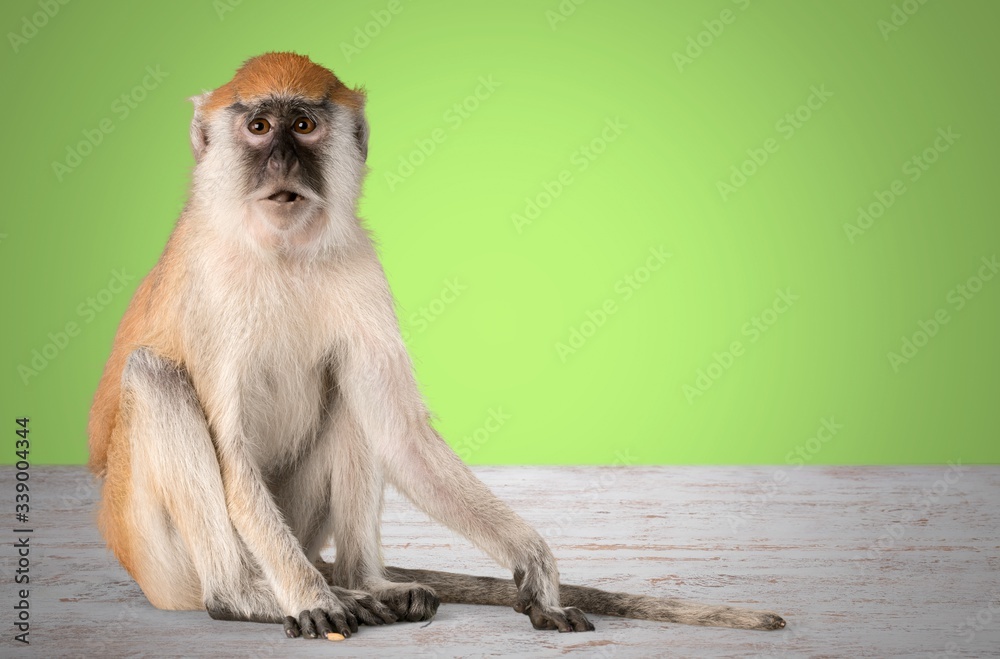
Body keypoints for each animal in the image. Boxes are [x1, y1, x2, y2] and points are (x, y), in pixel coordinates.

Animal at [87, 52, 786, 640]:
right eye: (259, 127)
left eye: (304, 125)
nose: (282, 163)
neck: (282, 250)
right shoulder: (210, 288)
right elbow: (229, 450)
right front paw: (309, 599)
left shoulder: (361, 267)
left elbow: (401, 433)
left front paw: (534, 563)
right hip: (162, 555)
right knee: (155, 376)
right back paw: (249, 595)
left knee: (353, 398)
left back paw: (367, 583)